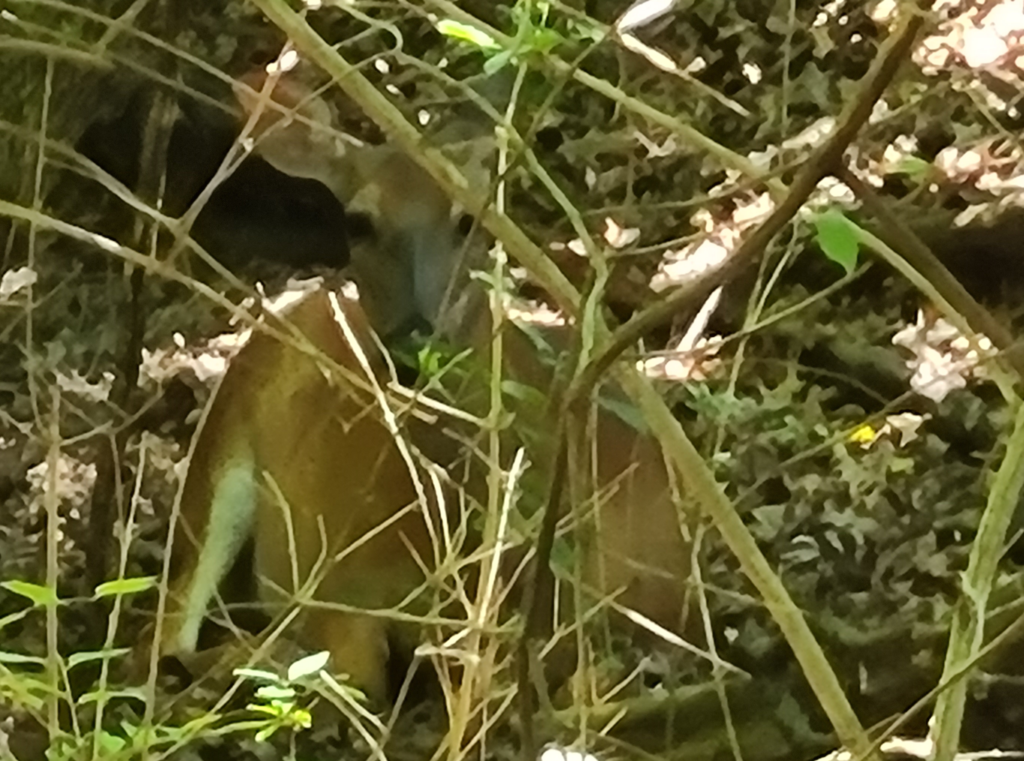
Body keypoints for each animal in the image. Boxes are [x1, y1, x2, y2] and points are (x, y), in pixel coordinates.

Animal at [151, 65, 694, 703]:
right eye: (358, 222)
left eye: (468, 219)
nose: (414, 343)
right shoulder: (332, 586)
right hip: (225, 445)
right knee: (170, 625)